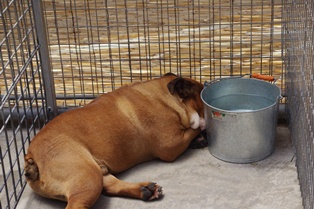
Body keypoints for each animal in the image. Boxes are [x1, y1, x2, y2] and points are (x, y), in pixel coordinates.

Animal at [24, 72, 206, 208]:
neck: (166, 95)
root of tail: (31, 157)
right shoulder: (171, 144)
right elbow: (194, 129)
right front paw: (201, 134)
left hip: (93, 173)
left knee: (111, 185)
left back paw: (145, 189)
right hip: (87, 176)